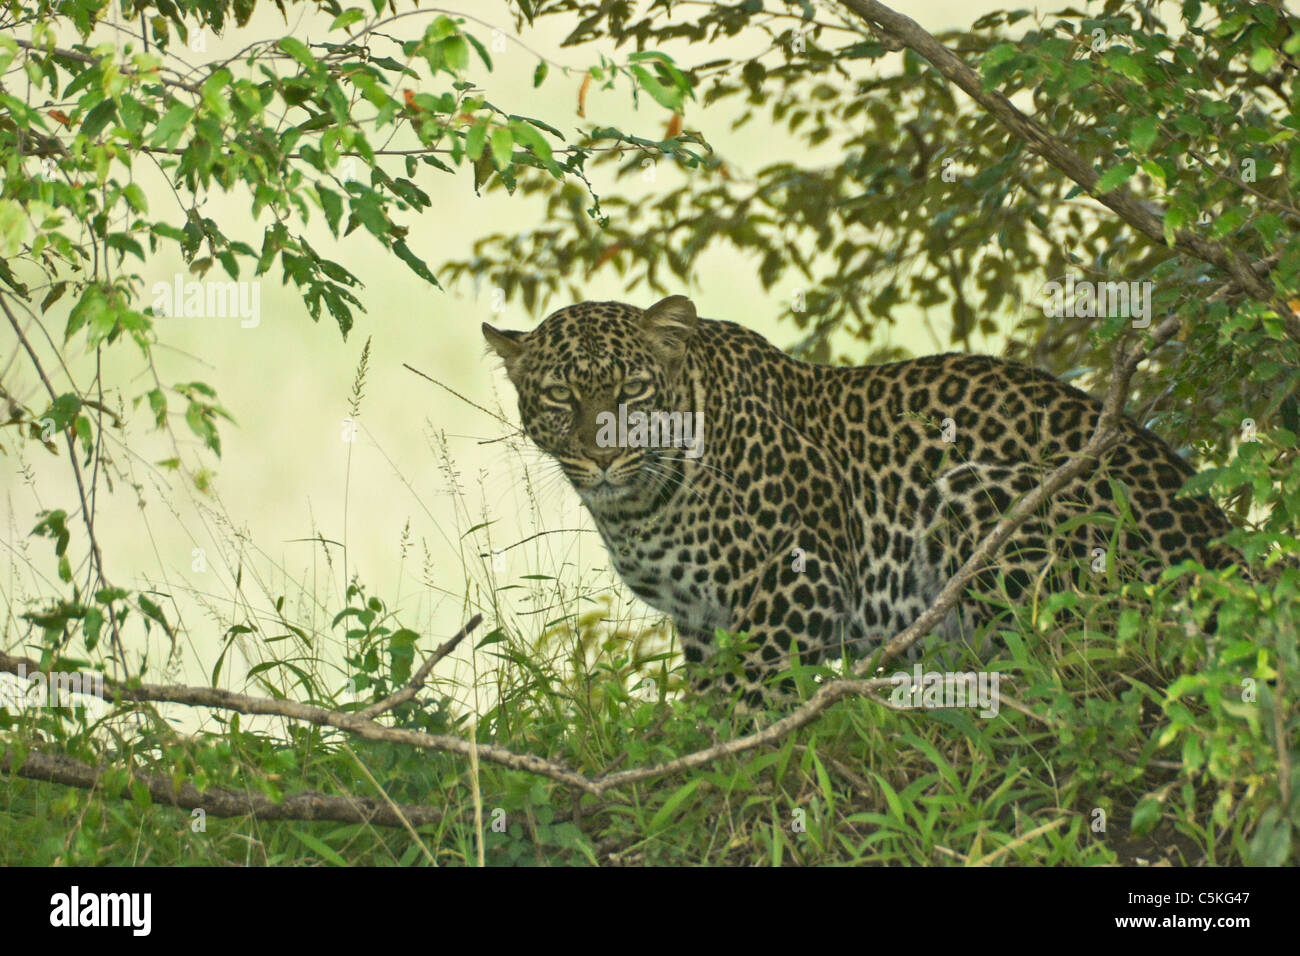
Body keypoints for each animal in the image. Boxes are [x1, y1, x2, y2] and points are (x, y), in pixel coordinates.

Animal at [486, 295, 1237, 697]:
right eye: (560, 396)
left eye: (633, 391)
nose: (602, 456)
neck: (640, 505)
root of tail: (1223, 547)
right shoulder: (699, 622)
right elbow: (708, 692)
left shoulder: (803, 575)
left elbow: (748, 688)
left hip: (976, 494)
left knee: (1062, 650)